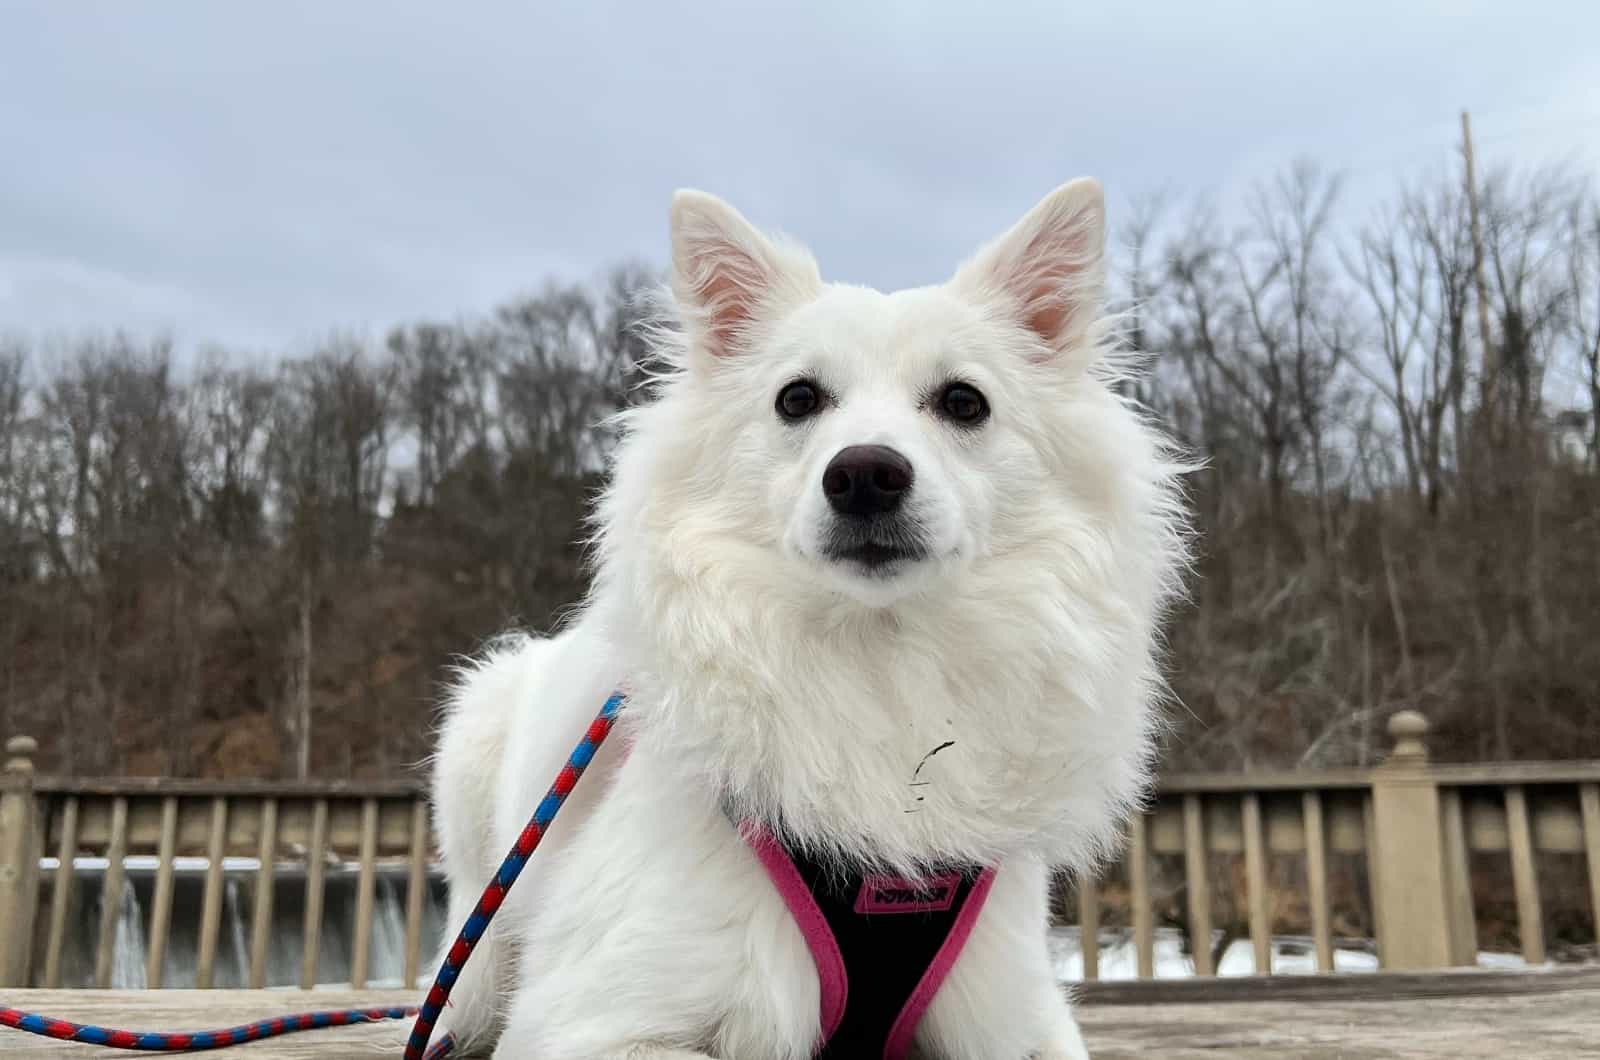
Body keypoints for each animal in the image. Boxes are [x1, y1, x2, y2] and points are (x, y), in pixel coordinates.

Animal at [428, 178, 1190, 1056]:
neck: (877, 657)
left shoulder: (1017, 1014)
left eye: (965, 402)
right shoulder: (594, 1019)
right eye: (797, 399)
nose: (864, 474)